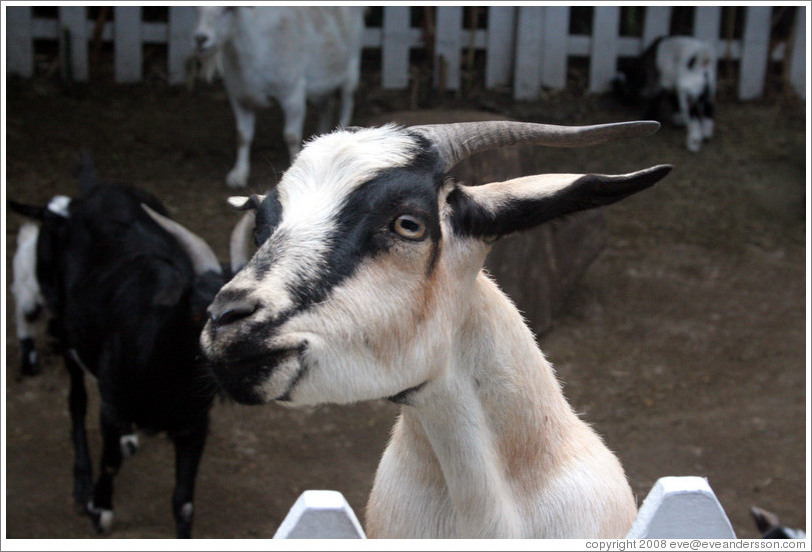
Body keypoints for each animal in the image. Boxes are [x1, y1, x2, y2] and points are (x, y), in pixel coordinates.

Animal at [8, 157, 242, 538]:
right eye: (196, 304)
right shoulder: (112, 406)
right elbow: (110, 463)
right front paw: (99, 508)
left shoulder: (194, 423)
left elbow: (184, 501)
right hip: (68, 336)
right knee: (76, 402)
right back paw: (82, 482)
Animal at [192, 6, 365, 188]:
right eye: (196, 9)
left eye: (228, 9)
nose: (200, 39)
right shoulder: (239, 97)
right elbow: (242, 135)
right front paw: (239, 174)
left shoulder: (292, 94)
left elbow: (291, 137)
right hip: (322, 84)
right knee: (327, 106)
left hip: (352, 65)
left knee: (347, 101)